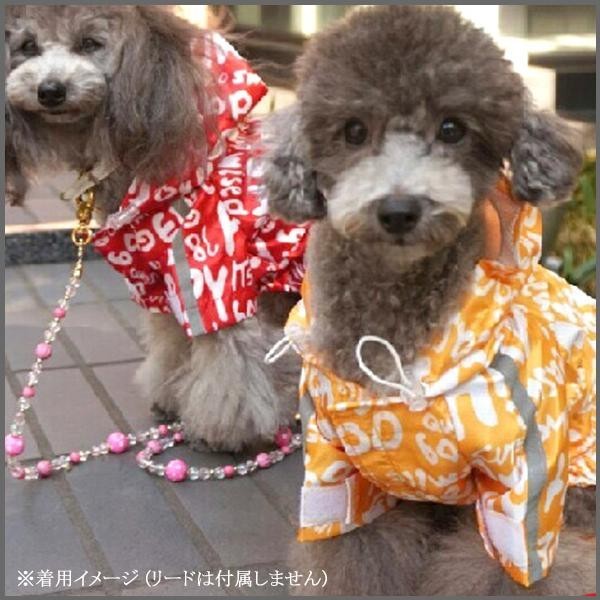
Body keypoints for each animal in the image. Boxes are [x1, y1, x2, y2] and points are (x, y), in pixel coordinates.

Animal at [5, 5, 304, 451]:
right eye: (27, 46)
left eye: (89, 43)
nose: (50, 90)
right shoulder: (161, 283)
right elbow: (171, 342)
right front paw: (170, 396)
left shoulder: (215, 282)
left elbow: (230, 366)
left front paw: (225, 432)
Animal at [263, 6, 595, 596]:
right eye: (353, 130)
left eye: (452, 129)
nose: (399, 209)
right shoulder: (335, 466)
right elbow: (354, 549)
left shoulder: (523, 479)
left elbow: (511, 569)